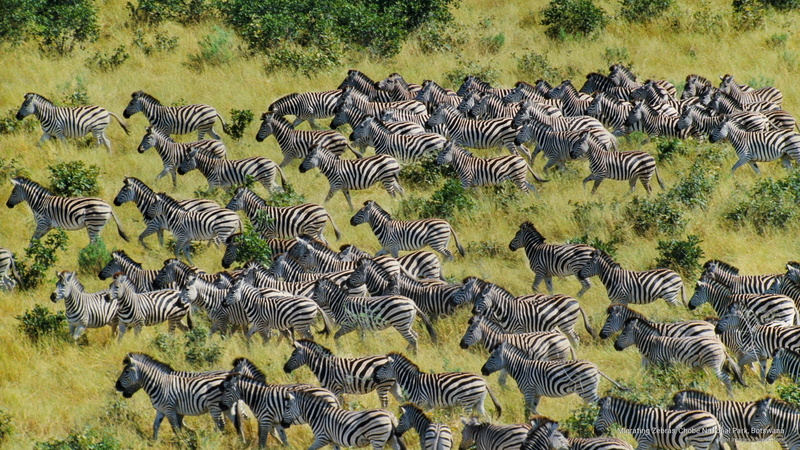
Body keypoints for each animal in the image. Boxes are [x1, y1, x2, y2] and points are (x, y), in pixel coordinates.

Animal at [114, 353, 242, 440]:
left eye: (126, 372)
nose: (116, 386)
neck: (159, 384)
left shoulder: (170, 409)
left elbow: (176, 428)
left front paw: (182, 441)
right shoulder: (162, 410)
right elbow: (156, 426)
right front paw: (154, 442)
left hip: (215, 407)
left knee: (221, 425)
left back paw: (213, 439)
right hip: (227, 407)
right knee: (235, 423)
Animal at [373, 352, 502, 417]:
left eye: (384, 367)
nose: (374, 377)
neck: (412, 382)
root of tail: (483, 380)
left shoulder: (423, 403)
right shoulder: (429, 406)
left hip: (467, 402)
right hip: (478, 402)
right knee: (487, 417)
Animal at [481, 341, 627, 416]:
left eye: (492, 357)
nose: (482, 370)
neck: (521, 368)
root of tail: (595, 367)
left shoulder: (528, 391)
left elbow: (527, 411)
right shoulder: (536, 393)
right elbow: (534, 410)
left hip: (586, 389)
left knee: (597, 404)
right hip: (587, 390)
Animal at [614, 317, 745, 396]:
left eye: (623, 333)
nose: (615, 346)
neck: (652, 343)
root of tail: (722, 346)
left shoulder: (660, 363)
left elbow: (660, 380)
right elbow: (652, 377)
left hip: (713, 365)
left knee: (725, 378)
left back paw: (729, 396)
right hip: (711, 365)